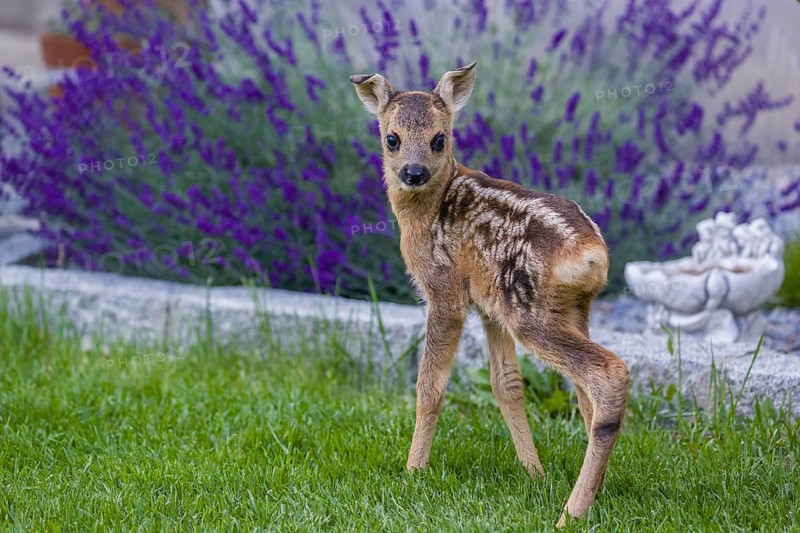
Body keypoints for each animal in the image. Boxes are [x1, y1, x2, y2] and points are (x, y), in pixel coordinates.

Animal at [349, 62, 629, 527]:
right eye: (392, 139)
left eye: (439, 138)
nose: (413, 173)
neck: (424, 214)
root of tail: (591, 253)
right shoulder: (487, 306)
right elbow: (507, 384)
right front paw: (533, 471)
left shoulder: (445, 292)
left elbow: (429, 386)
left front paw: (412, 471)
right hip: (566, 308)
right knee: (584, 391)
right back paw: (595, 493)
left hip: (528, 310)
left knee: (608, 374)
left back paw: (570, 514)